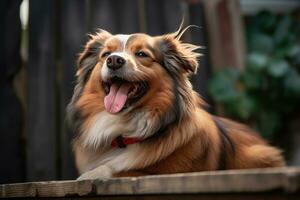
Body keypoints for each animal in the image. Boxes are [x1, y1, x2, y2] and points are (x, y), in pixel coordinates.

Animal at [68, 27, 286, 180]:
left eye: (142, 54)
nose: (114, 60)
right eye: (105, 55)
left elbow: (121, 170)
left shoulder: (175, 171)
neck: (126, 133)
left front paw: (91, 174)